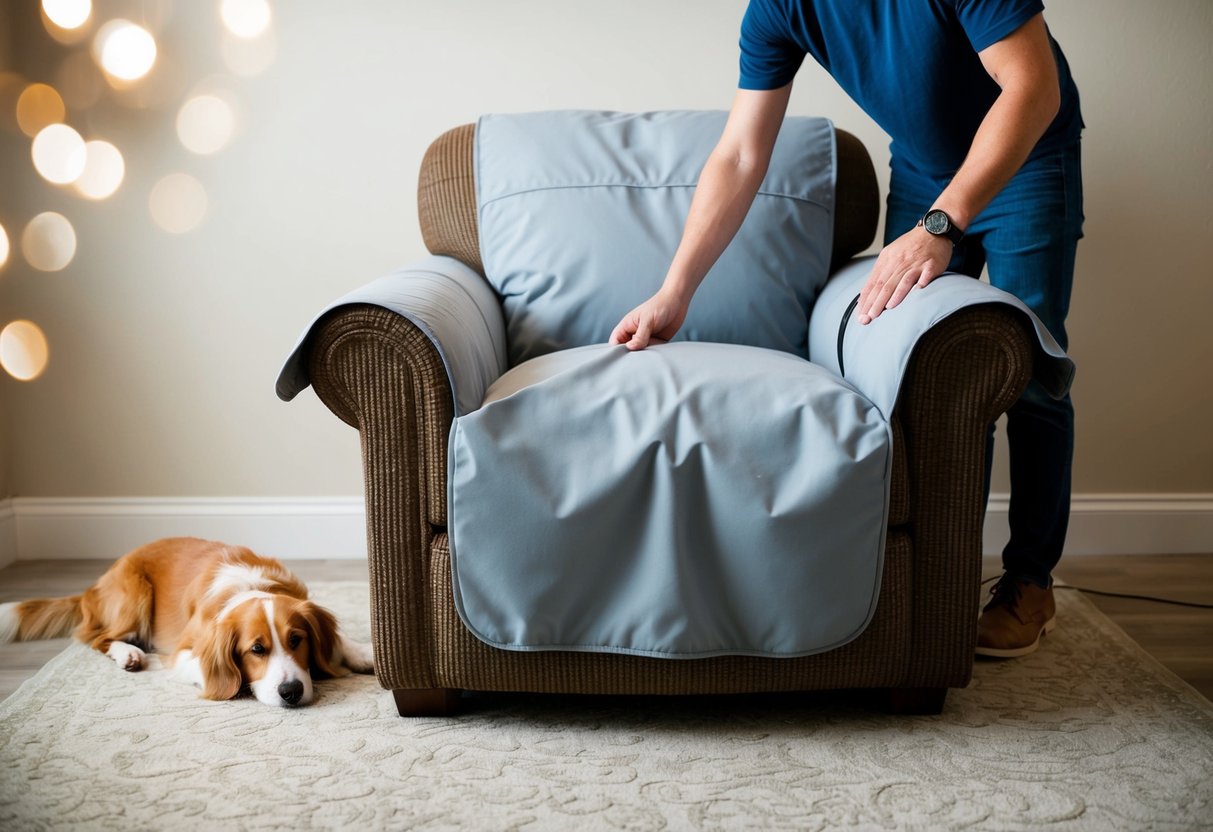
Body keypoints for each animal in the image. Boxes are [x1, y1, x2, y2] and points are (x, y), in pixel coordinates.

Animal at [0, 538, 373, 708]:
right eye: (256, 650)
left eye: (297, 640)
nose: (291, 692)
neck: (249, 587)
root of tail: (94, 585)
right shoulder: (183, 653)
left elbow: (339, 640)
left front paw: (364, 653)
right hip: (135, 594)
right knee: (98, 639)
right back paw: (129, 654)